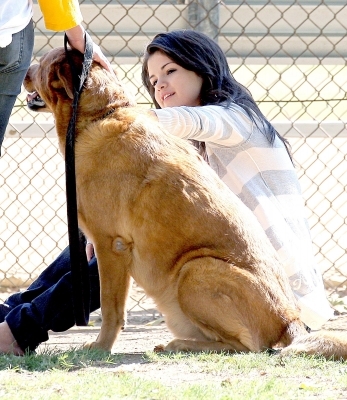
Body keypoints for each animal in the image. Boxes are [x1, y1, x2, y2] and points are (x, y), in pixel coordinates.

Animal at [24, 47, 347, 360]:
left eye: (42, 62)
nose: (25, 70)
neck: (102, 113)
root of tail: (290, 320)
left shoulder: (110, 245)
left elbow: (111, 309)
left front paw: (101, 347)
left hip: (194, 271)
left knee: (245, 347)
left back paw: (179, 345)